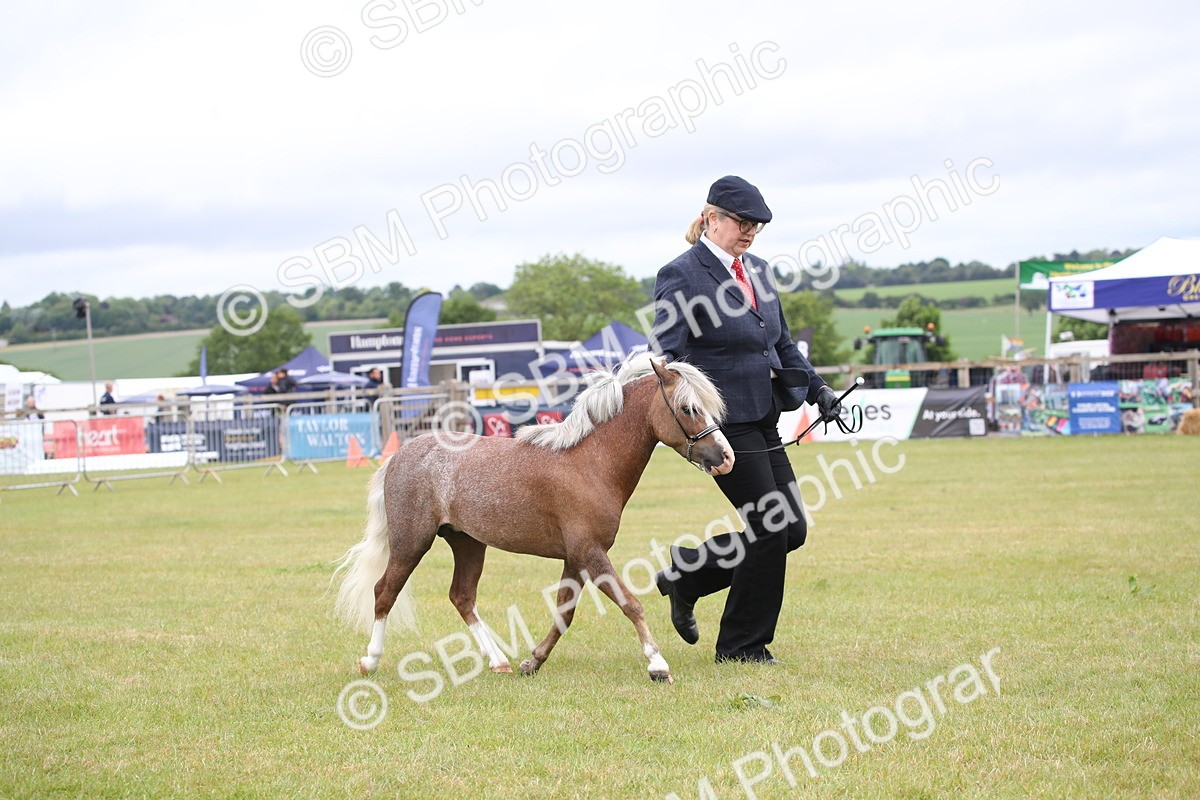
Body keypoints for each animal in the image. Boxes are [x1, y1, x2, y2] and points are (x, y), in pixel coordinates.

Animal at [333, 355, 734, 684]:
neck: (590, 462)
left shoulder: (576, 558)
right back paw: (370, 661)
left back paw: (498, 661)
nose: (725, 458)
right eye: (688, 407)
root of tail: (401, 454)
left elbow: (564, 613)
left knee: (462, 597)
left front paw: (533, 661)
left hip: (467, 543)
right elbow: (629, 603)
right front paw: (657, 665)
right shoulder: (591, 554)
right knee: (385, 592)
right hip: (411, 542)